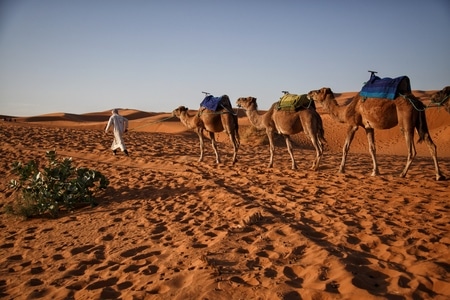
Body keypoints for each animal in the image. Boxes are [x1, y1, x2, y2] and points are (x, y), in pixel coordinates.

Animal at [308, 86, 444, 180]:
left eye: (318, 91)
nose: (309, 93)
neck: (345, 110)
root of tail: (418, 102)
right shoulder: (369, 127)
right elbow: (372, 148)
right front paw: (375, 171)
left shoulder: (353, 124)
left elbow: (345, 147)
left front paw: (341, 169)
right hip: (420, 123)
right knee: (431, 144)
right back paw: (439, 175)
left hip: (406, 122)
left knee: (412, 150)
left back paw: (402, 173)